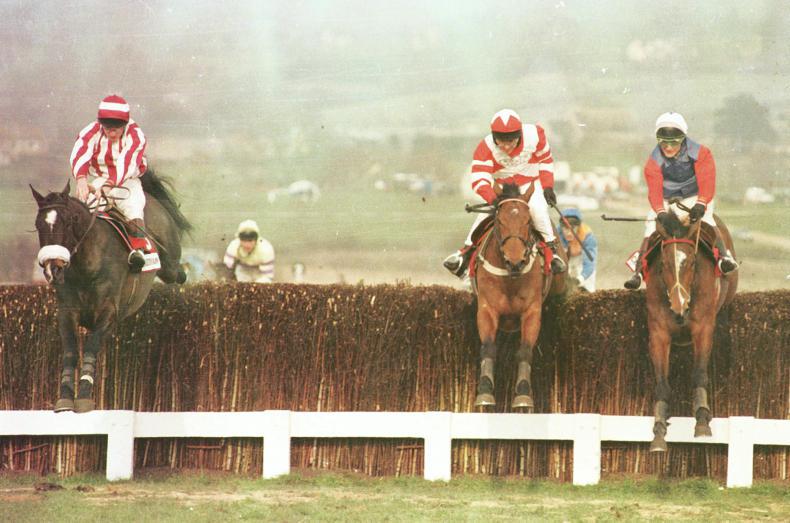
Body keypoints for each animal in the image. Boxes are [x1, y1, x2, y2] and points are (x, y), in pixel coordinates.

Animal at [31, 169, 192, 413]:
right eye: (39, 225)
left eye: (68, 222)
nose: (53, 268)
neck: (87, 266)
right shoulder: (67, 311)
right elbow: (70, 352)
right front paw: (65, 396)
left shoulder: (108, 310)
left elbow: (91, 346)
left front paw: (84, 395)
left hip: (169, 262)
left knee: (177, 273)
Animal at [471, 181, 568, 410]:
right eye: (499, 220)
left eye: (528, 221)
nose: (515, 262)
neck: (511, 276)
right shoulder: (487, 308)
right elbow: (488, 347)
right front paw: (485, 391)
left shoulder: (531, 311)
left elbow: (525, 350)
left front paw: (523, 395)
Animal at [643, 205, 738, 451]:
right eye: (664, 264)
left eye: (693, 262)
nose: (679, 308)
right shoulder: (659, 333)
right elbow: (661, 384)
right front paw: (659, 431)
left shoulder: (703, 328)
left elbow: (699, 375)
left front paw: (702, 421)